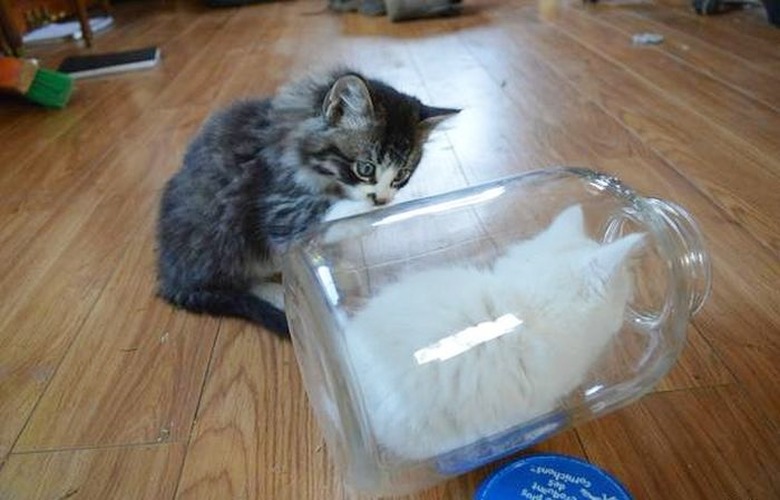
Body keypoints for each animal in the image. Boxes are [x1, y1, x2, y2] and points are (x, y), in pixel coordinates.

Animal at [155, 69, 458, 336]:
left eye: (402, 175)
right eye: (365, 168)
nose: (382, 198)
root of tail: (169, 275)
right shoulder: (277, 205)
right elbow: (326, 218)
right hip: (222, 231)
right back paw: (279, 294)